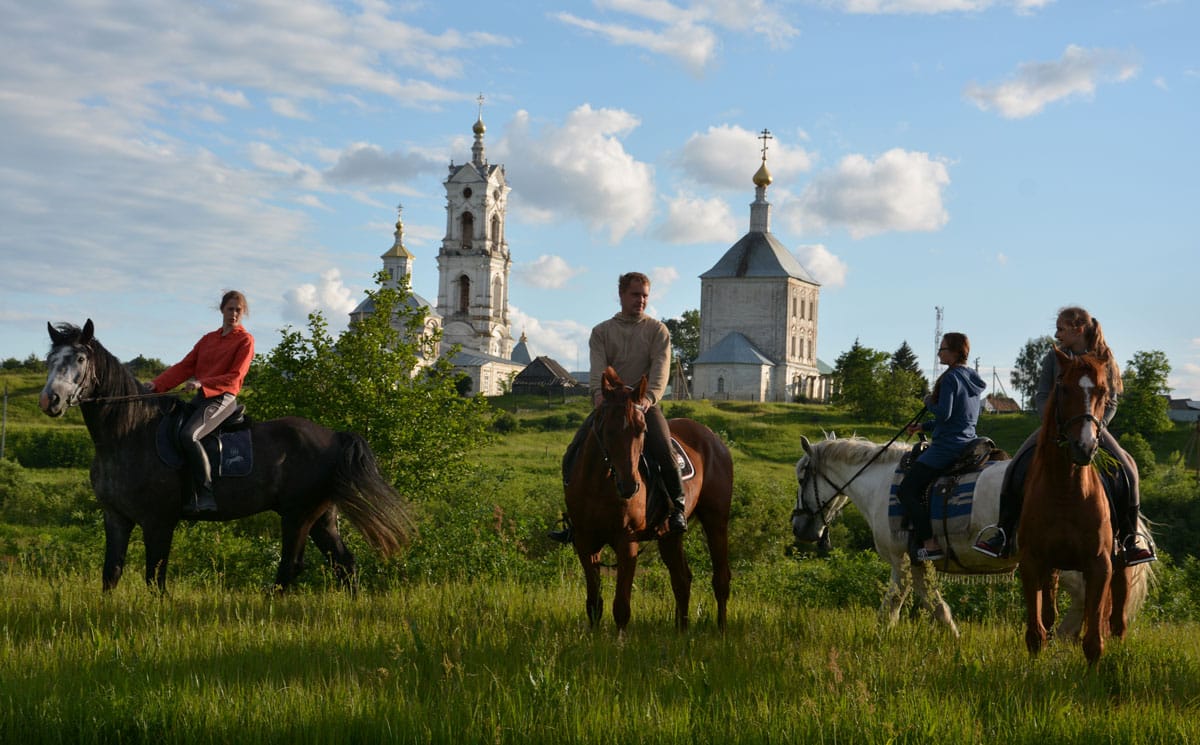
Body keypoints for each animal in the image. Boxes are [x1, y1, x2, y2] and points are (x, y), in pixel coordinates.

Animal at [566, 367, 734, 628]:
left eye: (642, 430)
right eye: (606, 428)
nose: (630, 486)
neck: (599, 485)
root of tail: (715, 440)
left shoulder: (627, 542)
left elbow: (621, 607)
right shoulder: (585, 542)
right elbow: (594, 603)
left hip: (716, 522)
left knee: (721, 580)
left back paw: (722, 630)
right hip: (670, 535)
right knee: (682, 580)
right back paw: (681, 631)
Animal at [787, 431, 1152, 638]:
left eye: (802, 476)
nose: (799, 527)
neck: (882, 481)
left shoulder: (905, 561)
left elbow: (909, 603)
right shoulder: (913, 563)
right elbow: (916, 603)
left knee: (1084, 601)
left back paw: (1059, 639)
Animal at [1017, 347, 1128, 662]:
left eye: (1103, 391)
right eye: (1064, 388)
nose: (1084, 446)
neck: (1066, 491)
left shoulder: (1099, 565)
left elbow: (1093, 642)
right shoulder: (1031, 562)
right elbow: (1035, 634)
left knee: (1116, 614)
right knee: (1049, 614)